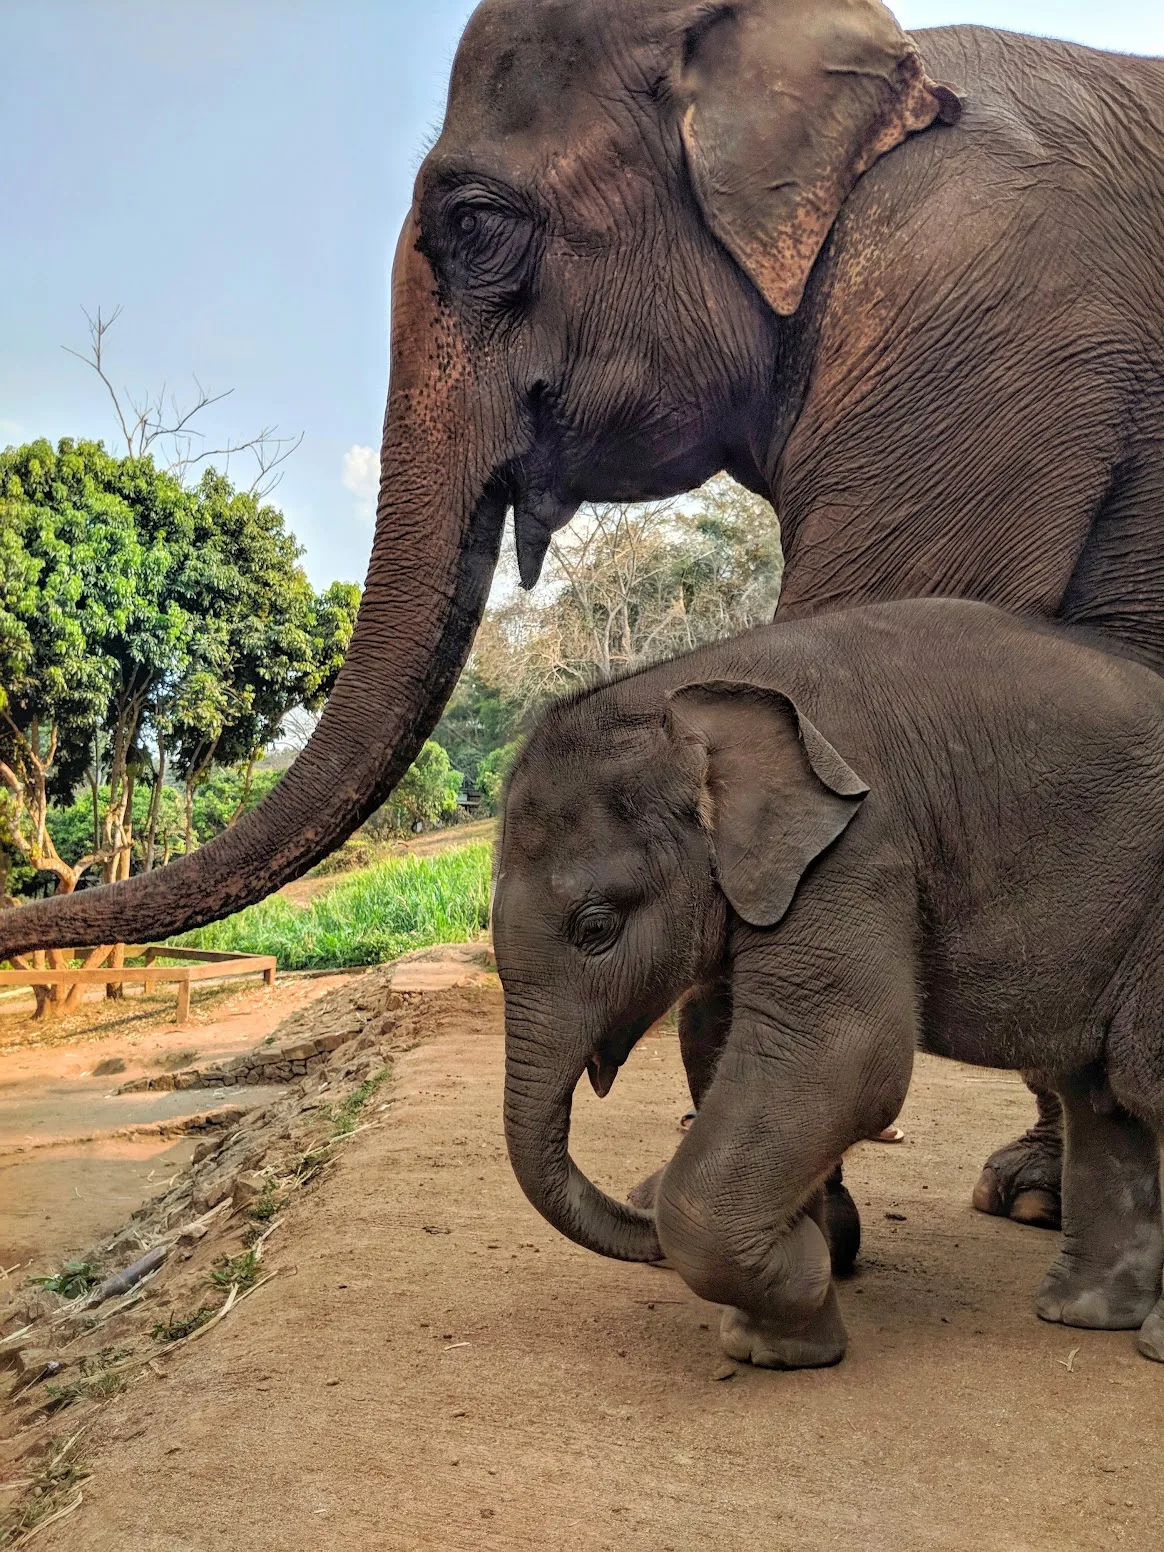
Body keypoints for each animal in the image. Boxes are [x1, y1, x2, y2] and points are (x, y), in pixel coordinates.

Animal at [492, 598, 1164, 1369]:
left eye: (596, 927)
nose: (638, 1207)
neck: (687, 689)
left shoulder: (857, 846)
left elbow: (844, 1060)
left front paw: (800, 1277)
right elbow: (742, 1052)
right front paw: (780, 1344)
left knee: (1140, 1078)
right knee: (1100, 1093)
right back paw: (1081, 1317)